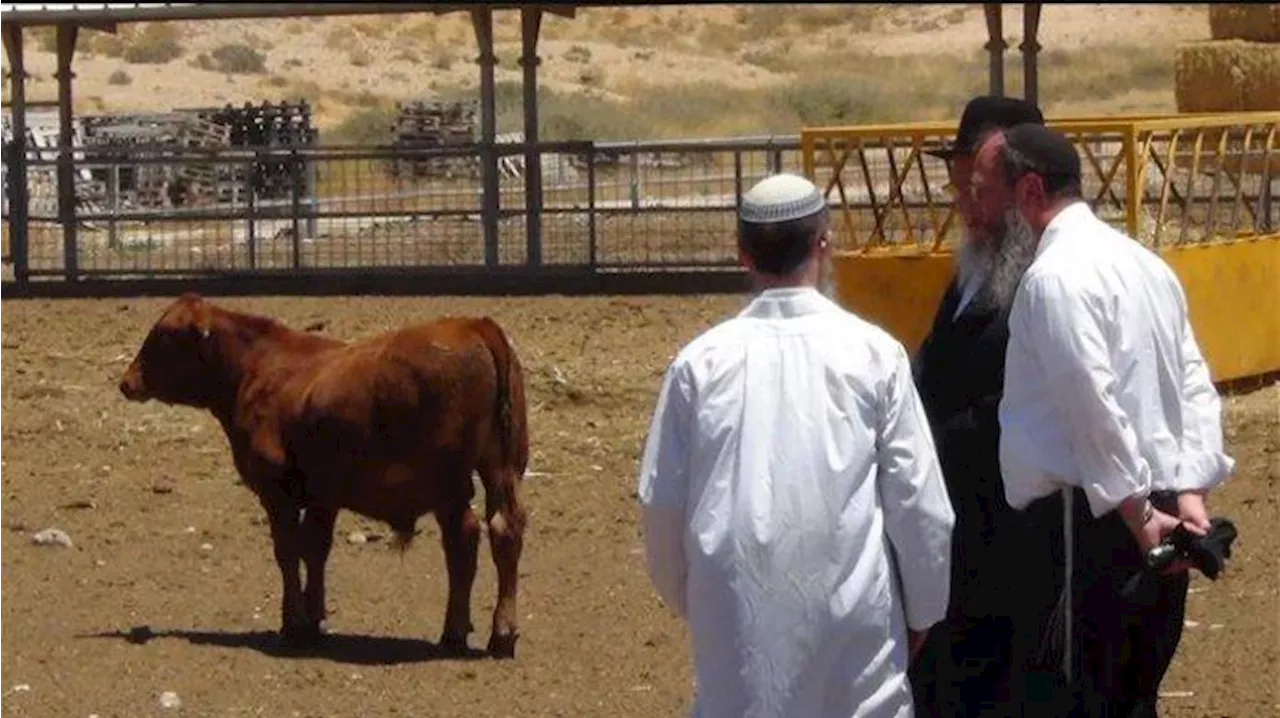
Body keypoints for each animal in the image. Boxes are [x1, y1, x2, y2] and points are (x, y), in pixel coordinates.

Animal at [115, 291, 524, 655]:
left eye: (164, 335)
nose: (127, 382)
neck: (258, 368)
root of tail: (473, 326)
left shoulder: (277, 492)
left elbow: (288, 550)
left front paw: (293, 623)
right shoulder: (323, 495)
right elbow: (315, 549)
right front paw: (313, 619)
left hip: (448, 485)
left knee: (463, 541)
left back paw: (455, 632)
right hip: (502, 470)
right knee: (504, 530)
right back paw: (502, 634)